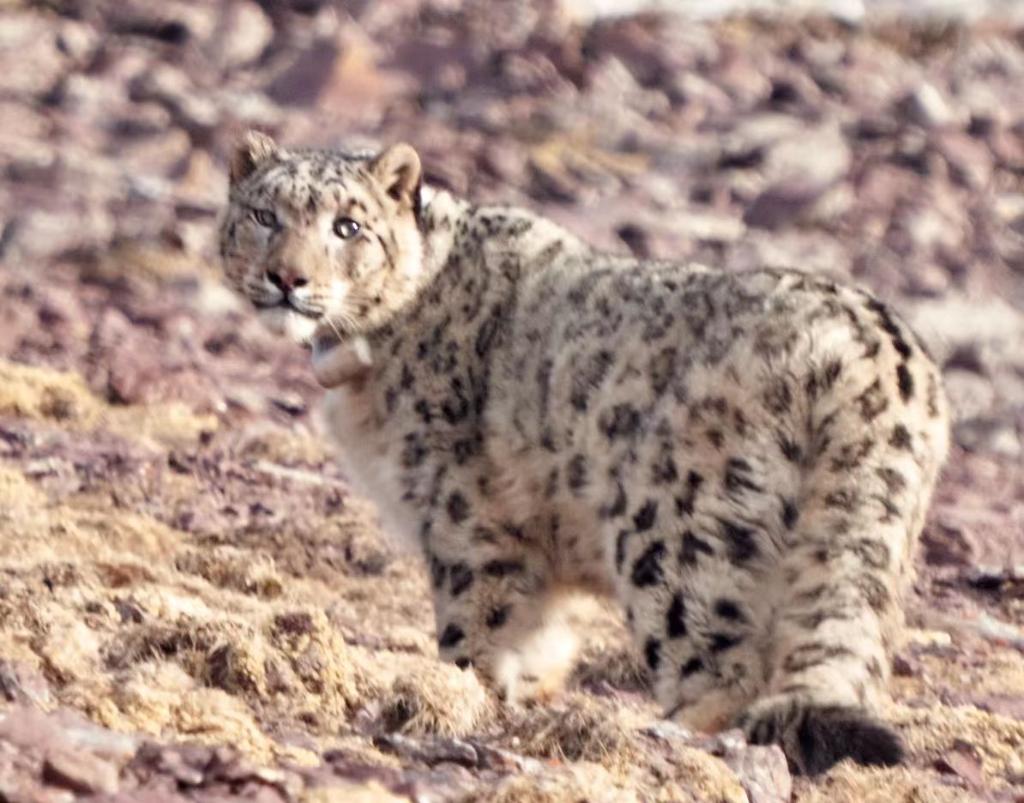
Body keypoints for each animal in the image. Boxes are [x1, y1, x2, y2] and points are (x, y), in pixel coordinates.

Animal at [219, 131, 950, 776]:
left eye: (347, 227)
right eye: (263, 215)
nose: (286, 278)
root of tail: (875, 355)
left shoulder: (465, 520)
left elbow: (474, 625)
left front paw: (456, 693)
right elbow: (542, 632)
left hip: (677, 538)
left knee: (722, 669)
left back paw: (669, 732)